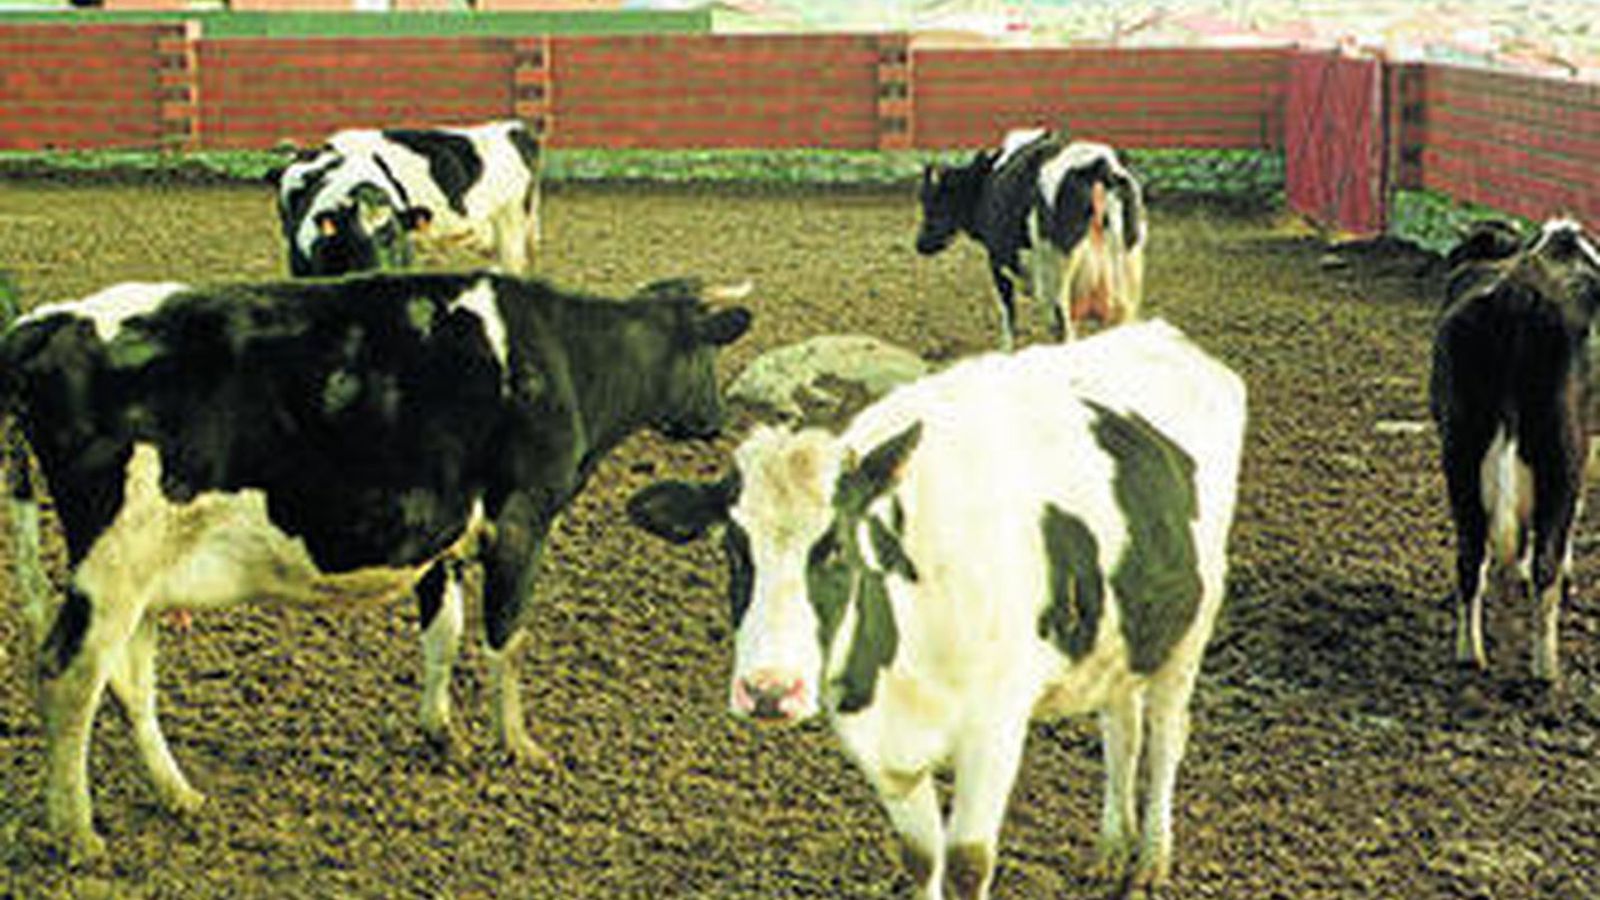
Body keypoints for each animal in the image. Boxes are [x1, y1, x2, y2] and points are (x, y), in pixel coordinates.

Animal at [0, 272, 751, 860]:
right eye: (710, 355)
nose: (717, 421)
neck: (568, 356)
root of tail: (49, 320)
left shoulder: (439, 538)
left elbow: (443, 634)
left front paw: (442, 733)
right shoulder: (521, 522)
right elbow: (505, 638)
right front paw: (518, 746)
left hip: (143, 577)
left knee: (129, 682)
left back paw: (179, 795)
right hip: (115, 562)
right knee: (70, 673)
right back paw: (78, 833)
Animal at [628, 320, 1246, 898]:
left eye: (839, 547)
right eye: (733, 549)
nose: (769, 691)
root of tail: (1160, 333)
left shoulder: (995, 728)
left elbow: (968, 864)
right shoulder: (878, 744)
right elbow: (921, 859)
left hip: (1192, 627)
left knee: (1165, 738)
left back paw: (1151, 860)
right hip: (1124, 635)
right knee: (1122, 728)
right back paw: (1113, 849)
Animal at [916, 128, 1147, 350]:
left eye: (932, 201)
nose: (920, 244)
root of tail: (1097, 165)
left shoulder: (997, 261)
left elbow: (1008, 312)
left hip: (1058, 278)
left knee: (1064, 328)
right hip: (1127, 277)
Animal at [1430, 216, 1600, 683]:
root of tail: (1518, 293)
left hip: (1460, 453)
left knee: (1470, 554)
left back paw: (1470, 653)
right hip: (1563, 453)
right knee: (1547, 562)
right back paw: (1546, 668)